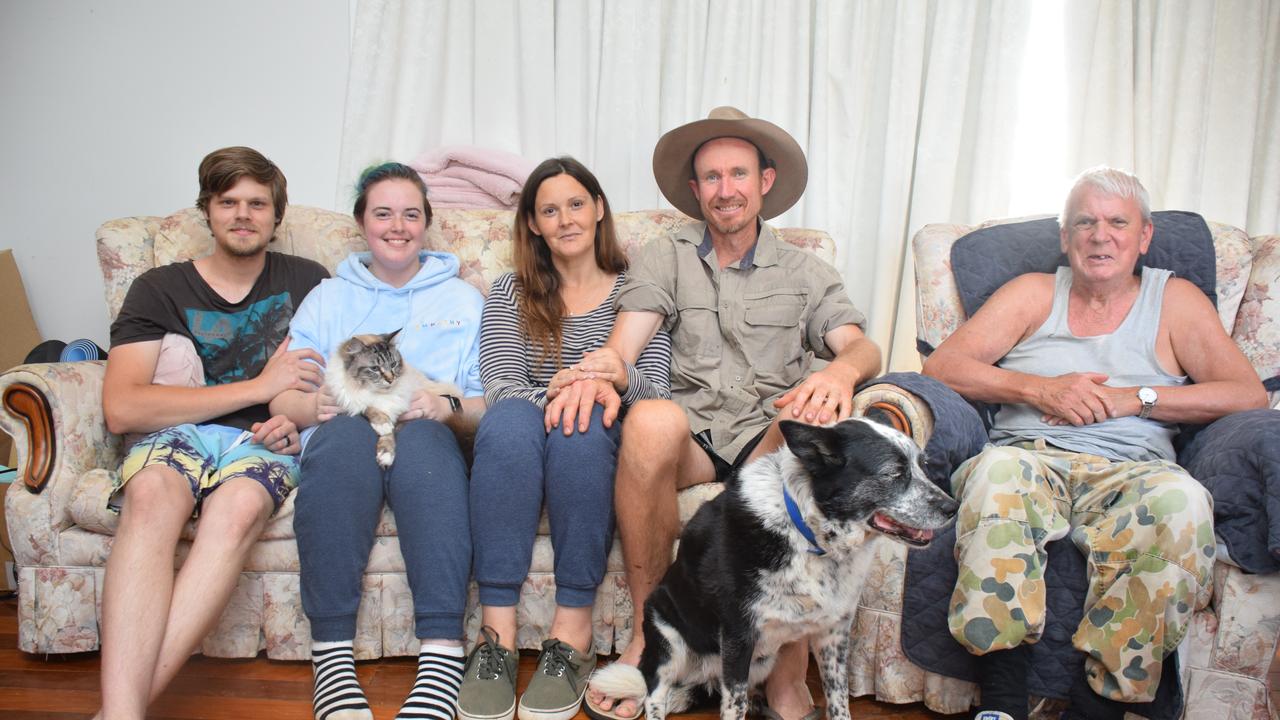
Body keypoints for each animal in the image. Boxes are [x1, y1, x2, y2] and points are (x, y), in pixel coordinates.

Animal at [325, 330, 465, 466]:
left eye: (393, 364)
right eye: (374, 368)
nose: (390, 380)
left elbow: (388, 436)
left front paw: (386, 455)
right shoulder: (352, 401)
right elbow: (369, 408)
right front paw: (383, 426)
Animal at [588, 415, 962, 717]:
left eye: (922, 466)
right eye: (893, 474)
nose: (953, 507)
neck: (810, 536)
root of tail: (702, 677)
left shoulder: (833, 635)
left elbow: (839, 701)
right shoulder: (738, 634)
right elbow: (732, 708)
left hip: (761, 661)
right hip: (669, 639)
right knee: (656, 694)